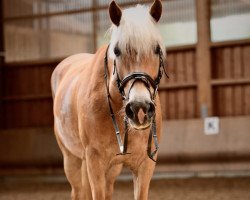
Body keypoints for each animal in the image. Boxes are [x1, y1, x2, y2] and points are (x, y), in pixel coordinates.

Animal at [51, 0, 167, 200]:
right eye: (117, 51)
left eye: (157, 49)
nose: (139, 108)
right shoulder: (95, 162)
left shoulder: (145, 166)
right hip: (71, 159)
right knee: (77, 191)